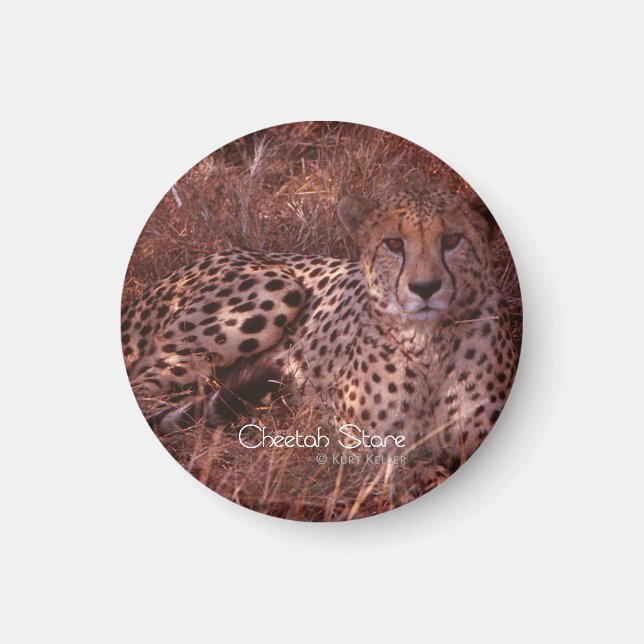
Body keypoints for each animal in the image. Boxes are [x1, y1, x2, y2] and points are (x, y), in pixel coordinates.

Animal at [121, 184, 520, 468]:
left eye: (452, 239)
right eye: (393, 243)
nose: (425, 288)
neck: (429, 345)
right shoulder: (364, 447)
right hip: (278, 287)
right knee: (146, 390)